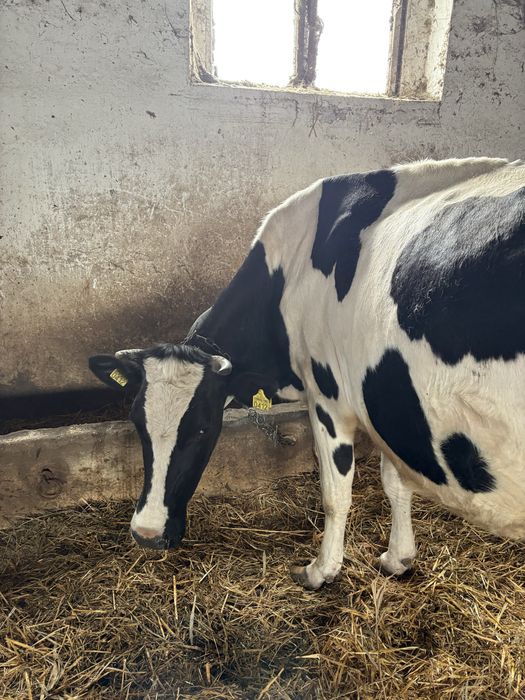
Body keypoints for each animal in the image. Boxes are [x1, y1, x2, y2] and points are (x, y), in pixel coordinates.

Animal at [89, 157, 525, 590]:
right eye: (136, 422)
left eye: (202, 428)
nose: (147, 533)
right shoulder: (388, 406)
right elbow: (395, 480)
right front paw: (398, 558)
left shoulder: (330, 398)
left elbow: (336, 494)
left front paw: (321, 570)